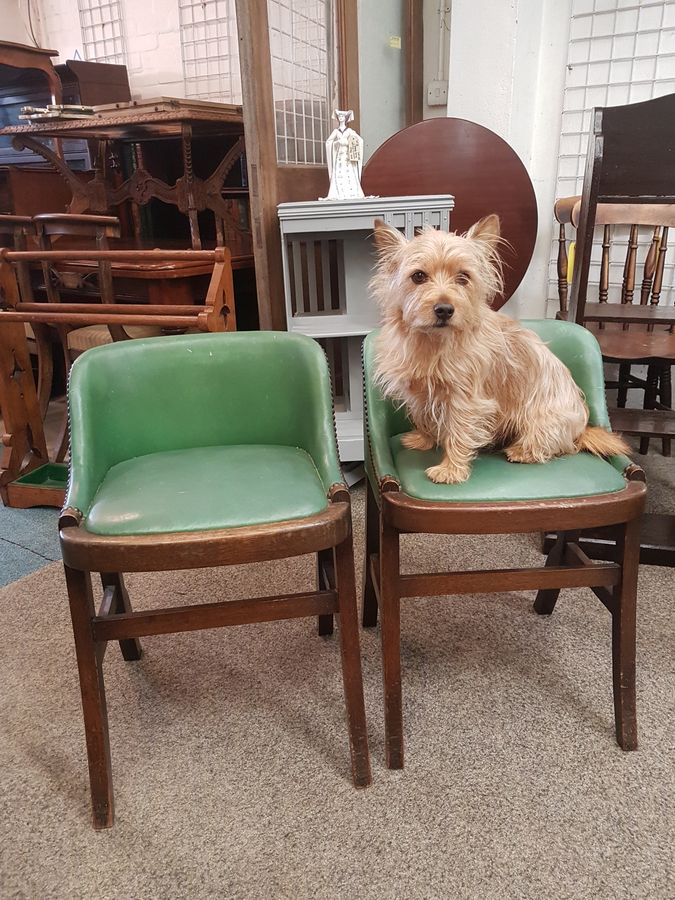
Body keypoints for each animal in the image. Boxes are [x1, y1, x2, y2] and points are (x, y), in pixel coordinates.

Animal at [370, 213, 628, 486]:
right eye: (418, 276)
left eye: (463, 277)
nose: (444, 309)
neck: (434, 341)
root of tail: (582, 429)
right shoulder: (421, 392)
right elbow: (423, 416)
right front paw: (424, 438)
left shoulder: (466, 400)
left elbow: (458, 432)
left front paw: (451, 469)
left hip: (544, 421)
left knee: (556, 445)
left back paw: (523, 451)